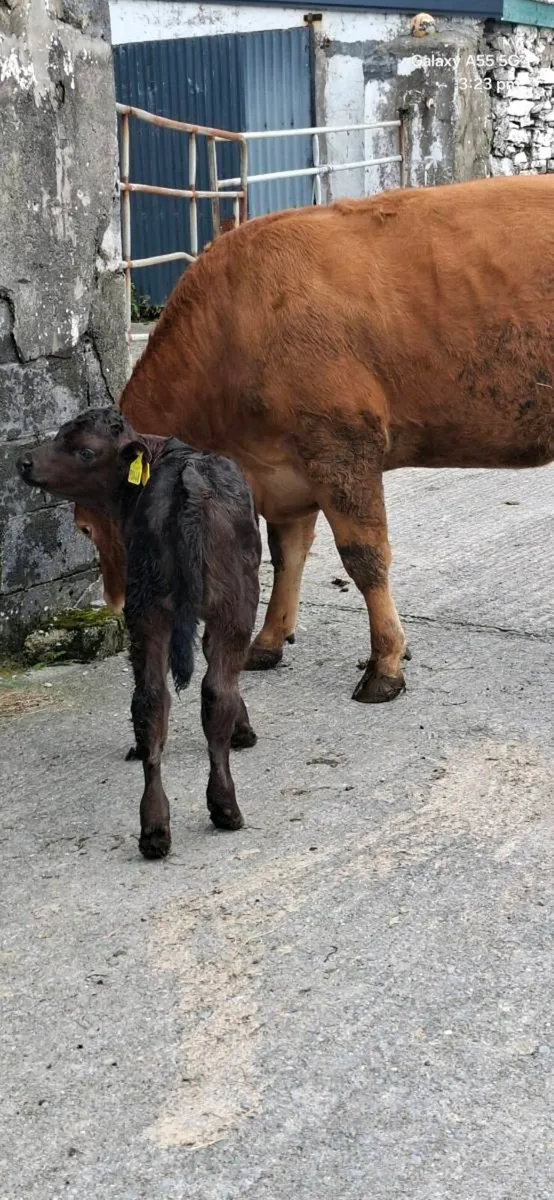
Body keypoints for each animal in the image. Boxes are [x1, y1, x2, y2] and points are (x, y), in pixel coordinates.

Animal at [17, 408, 261, 859]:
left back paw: (155, 828)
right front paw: (244, 730)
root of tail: (188, 482)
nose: (25, 462)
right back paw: (225, 807)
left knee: (149, 700)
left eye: (84, 450)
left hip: (147, 604)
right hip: (234, 603)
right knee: (215, 690)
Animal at [76, 176, 554, 704]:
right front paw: (267, 641)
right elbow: (287, 554)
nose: (116, 602)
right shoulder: (284, 469)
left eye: (85, 527)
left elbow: (365, 557)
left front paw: (386, 663)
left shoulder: (342, 446)